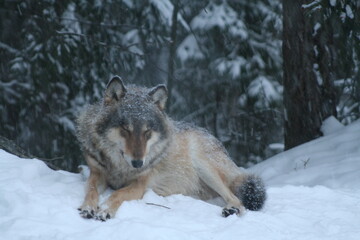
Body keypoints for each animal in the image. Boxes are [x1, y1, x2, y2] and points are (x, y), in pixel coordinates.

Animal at [76, 76, 268, 221]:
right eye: (126, 129)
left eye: (147, 131)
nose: (138, 163)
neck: (119, 165)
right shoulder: (97, 173)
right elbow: (91, 190)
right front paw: (88, 207)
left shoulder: (139, 185)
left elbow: (117, 194)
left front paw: (105, 209)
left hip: (204, 166)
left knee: (237, 200)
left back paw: (231, 210)